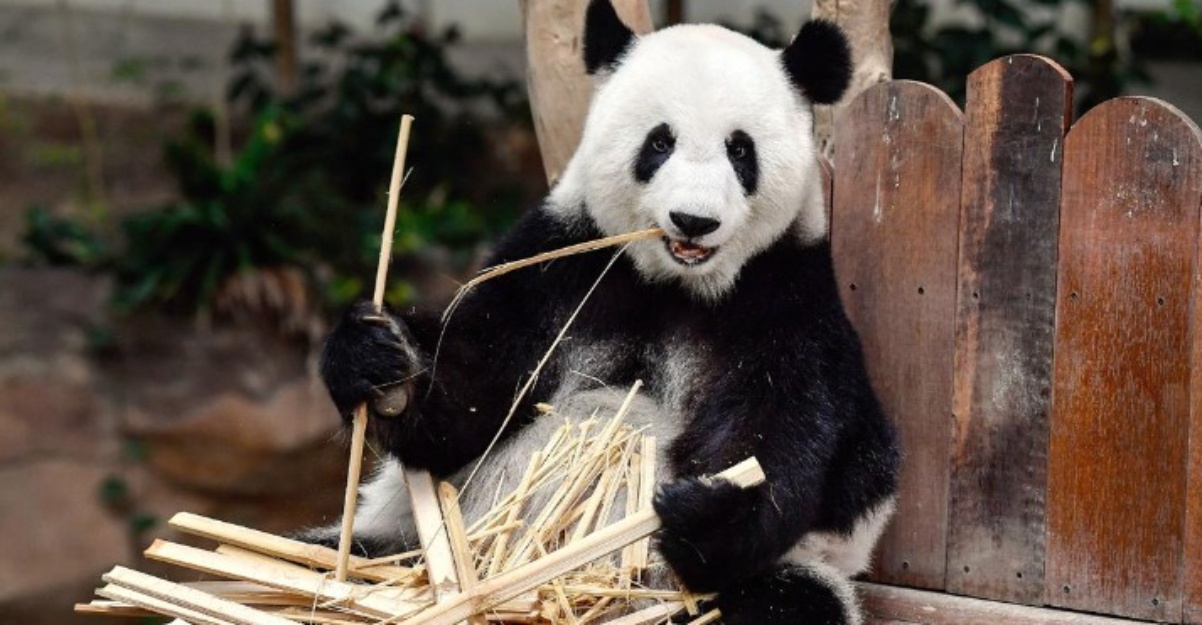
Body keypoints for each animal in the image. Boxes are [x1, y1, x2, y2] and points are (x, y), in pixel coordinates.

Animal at [312, 2, 900, 623]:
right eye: (659, 143)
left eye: (740, 150)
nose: (694, 221)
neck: (674, 283)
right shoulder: (563, 264)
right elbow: (470, 394)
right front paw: (380, 364)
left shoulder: (785, 296)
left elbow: (784, 429)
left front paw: (708, 515)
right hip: (405, 542)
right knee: (341, 552)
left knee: (793, 599)